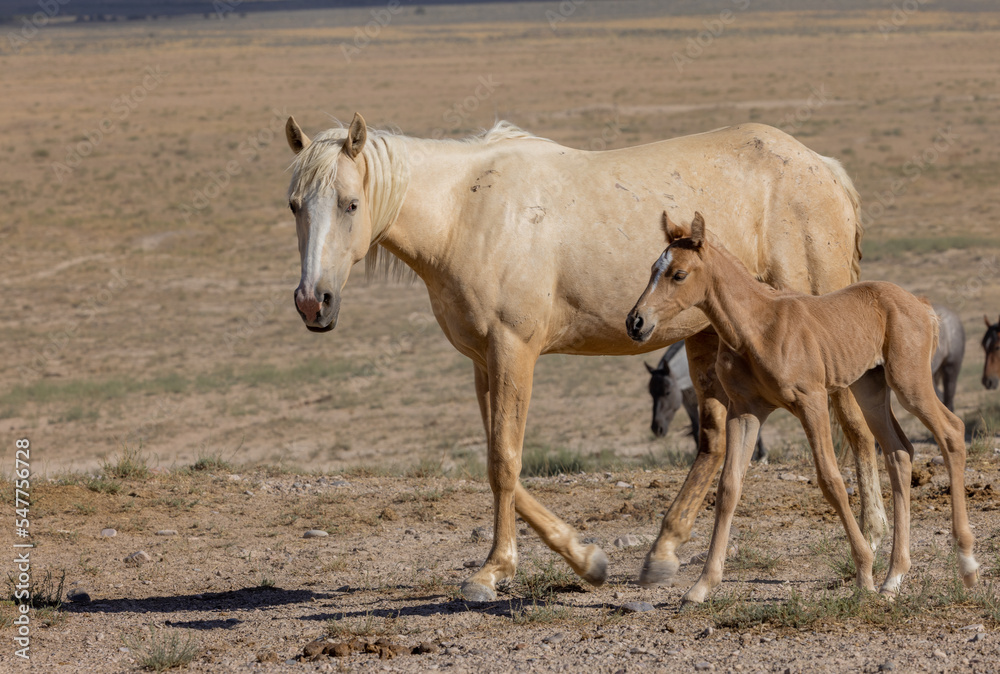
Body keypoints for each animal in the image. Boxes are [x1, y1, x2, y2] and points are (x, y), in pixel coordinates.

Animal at [286, 113, 888, 600]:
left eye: (351, 204)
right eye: (294, 206)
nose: (314, 303)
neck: (467, 214)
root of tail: (824, 168)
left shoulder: (513, 352)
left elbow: (505, 462)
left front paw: (493, 571)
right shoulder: (483, 363)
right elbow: (499, 462)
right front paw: (586, 559)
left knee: (855, 427)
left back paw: (874, 535)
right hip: (707, 339)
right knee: (715, 444)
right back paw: (663, 553)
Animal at [628, 213, 980, 600]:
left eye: (678, 274)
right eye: (652, 269)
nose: (636, 322)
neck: (756, 328)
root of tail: (921, 303)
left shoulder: (811, 402)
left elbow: (831, 480)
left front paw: (864, 573)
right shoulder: (745, 411)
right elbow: (729, 487)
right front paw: (701, 585)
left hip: (909, 383)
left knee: (951, 432)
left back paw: (966, 565)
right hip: (870, 389)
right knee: (899, 452)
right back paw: (894, 578)